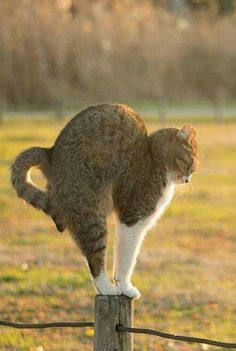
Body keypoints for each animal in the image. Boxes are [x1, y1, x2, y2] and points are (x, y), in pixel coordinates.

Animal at [11, 104, 199, 300]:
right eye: (191, 162)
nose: (188, 179)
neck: (153, 157)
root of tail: (50, 153)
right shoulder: (132, 217)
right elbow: (127, 256)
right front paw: (125, 287)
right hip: (90, 216)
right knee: (95, 260)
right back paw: (107, 288)